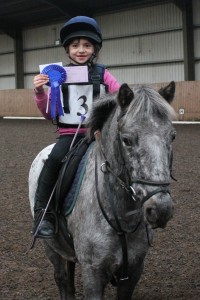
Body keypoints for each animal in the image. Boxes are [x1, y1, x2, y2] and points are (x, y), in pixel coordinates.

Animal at [28, 81, 177, 298]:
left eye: (172, 136)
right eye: (127, 140)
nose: (160, 209)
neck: (121, 218)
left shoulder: (133, 271)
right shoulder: (93, 272)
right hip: (50, 246)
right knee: (61, 278)